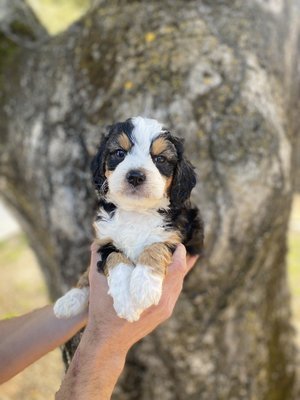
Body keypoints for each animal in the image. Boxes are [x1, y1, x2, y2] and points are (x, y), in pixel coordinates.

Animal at [54, 115, 204, 322]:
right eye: (119, 153)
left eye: (160, 159)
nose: (135, 176)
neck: (136, 211)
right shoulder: (105, 240)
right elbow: (116, 259)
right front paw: (127, 301)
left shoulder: (179, 238)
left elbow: (156, 246)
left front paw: (144, 286)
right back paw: (70, 299)